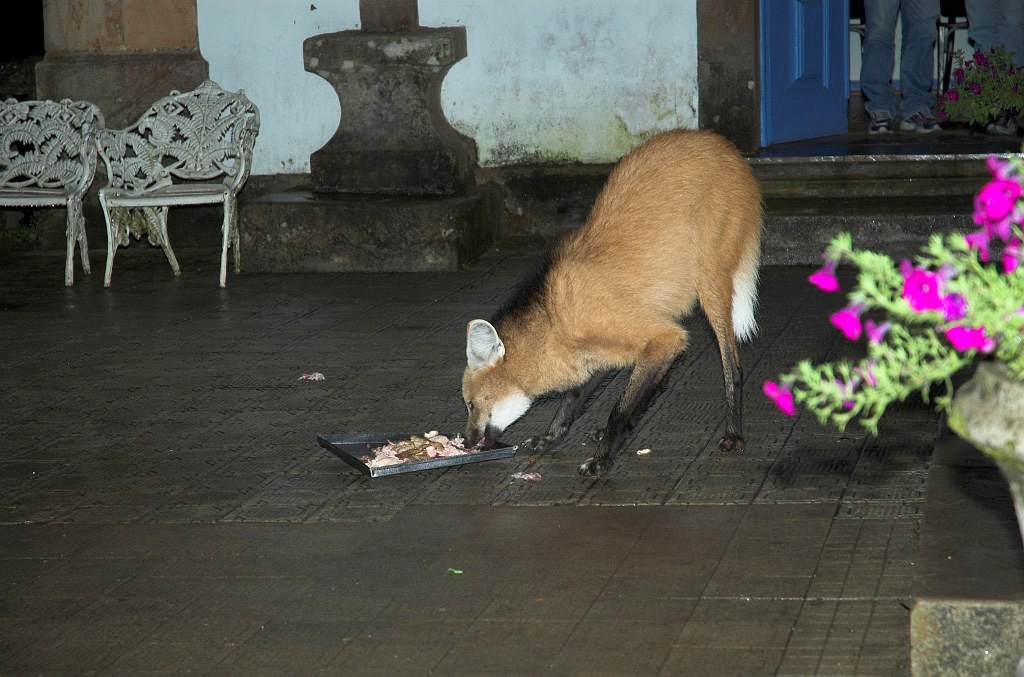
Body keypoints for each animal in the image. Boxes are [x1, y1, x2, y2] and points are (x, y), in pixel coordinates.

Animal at [462, 128, 761, 475]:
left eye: (471, 404)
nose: (466, 442)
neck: (554, 321)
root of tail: (722, 145)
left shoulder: (659, 336)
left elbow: (617, 409)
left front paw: (601, 460)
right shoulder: (605, 351)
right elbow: (573, 401)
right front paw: (552, 438)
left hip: (710, 284)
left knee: (733, 367)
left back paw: (733, 434)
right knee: (662, 376)